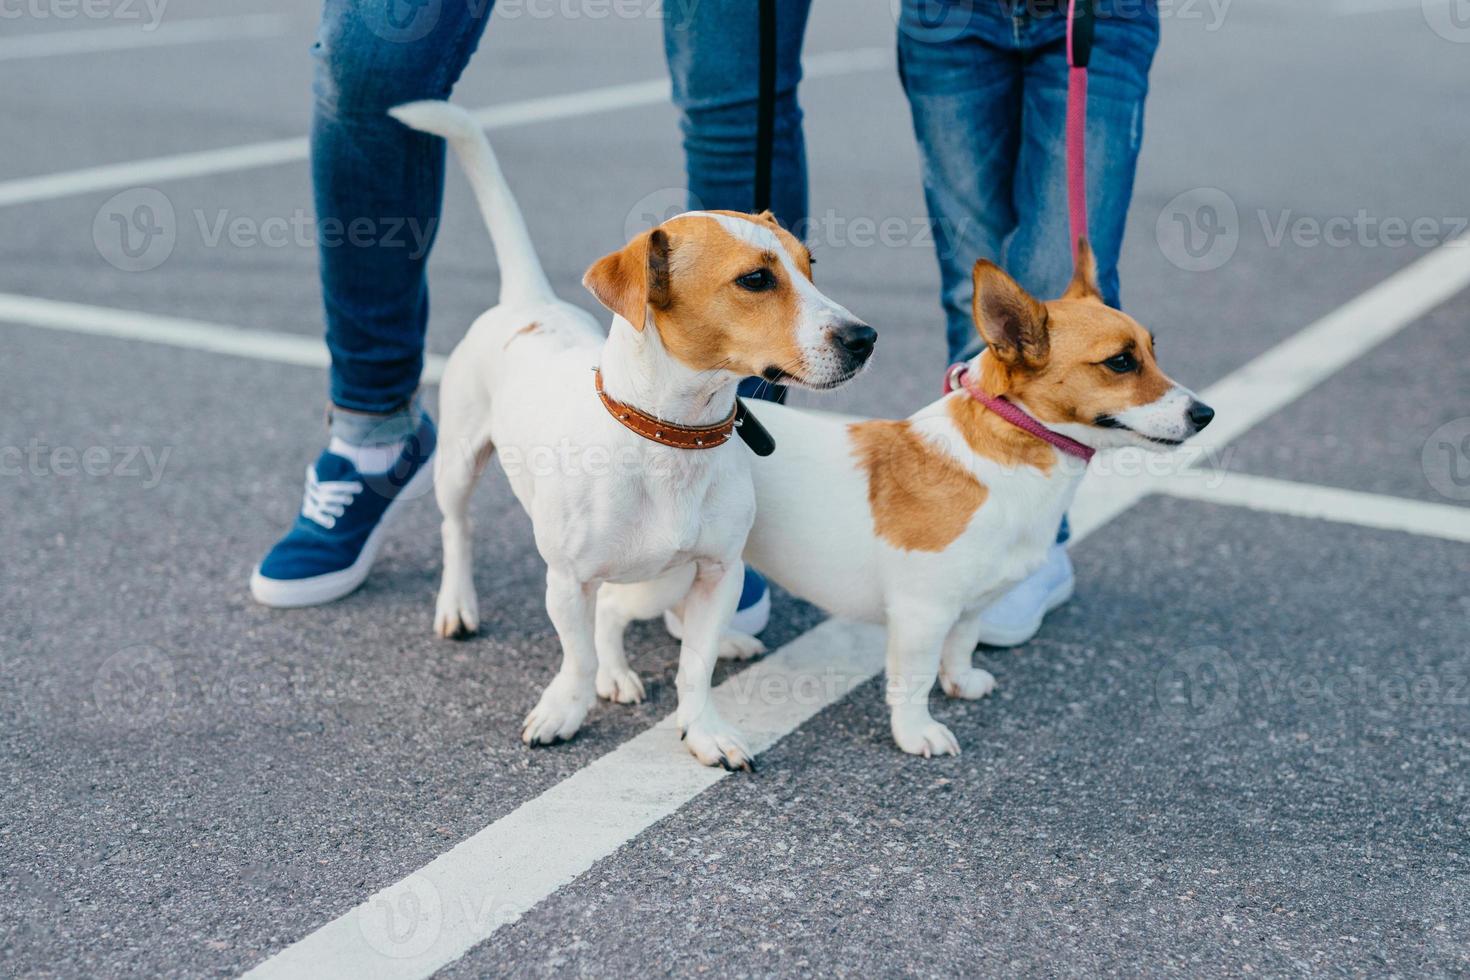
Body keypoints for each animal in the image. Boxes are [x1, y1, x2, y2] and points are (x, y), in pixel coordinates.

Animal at [388, 101, 870, 775]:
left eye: (811, 266)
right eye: (754, 280)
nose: (864, 338)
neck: (672, 435)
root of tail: (529, 301)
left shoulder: (719, 571)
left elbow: (695, 666)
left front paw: (703, 729)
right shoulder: (567, 581)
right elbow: (579, 654)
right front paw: (567, 708)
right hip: (458, 462)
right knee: (458, 529)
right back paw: (460, 606)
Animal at [611, 243, 1217, 758]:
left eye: (1152, 350)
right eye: (1120, 362)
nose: (1205, 414)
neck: (1007, 453)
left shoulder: (971, 605)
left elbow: (963, 645)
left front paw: (962, 682)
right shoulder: (922, 614)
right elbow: (915, 680)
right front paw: (917, 732)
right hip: (658, 576)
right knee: (610, 611)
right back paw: (613, 677)